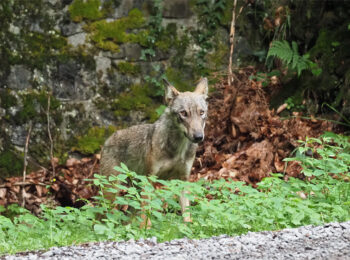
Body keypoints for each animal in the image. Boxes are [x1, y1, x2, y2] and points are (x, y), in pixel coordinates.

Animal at [99, 77, 208, 221]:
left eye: (201, 113)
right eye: (184, 113)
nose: (198, 137)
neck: (179, 149)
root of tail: (107, 140)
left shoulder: (183, 180)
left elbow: (187, 216)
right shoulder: (150, 180)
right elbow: (146, 216)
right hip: (112, 192)